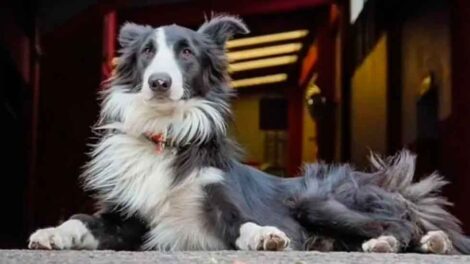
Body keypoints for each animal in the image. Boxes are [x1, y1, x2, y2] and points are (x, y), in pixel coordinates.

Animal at [27, 14, 470, 254]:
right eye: (147, 53)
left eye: (186, 53)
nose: (158, 83)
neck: (167, 136)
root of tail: (389, 184)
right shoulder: (127, 219)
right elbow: (81, 219)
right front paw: (50, 233)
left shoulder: (222, 203)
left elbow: (245, 222)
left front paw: (266, 236)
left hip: (315, 200)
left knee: (401, 224)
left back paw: (402, 243)